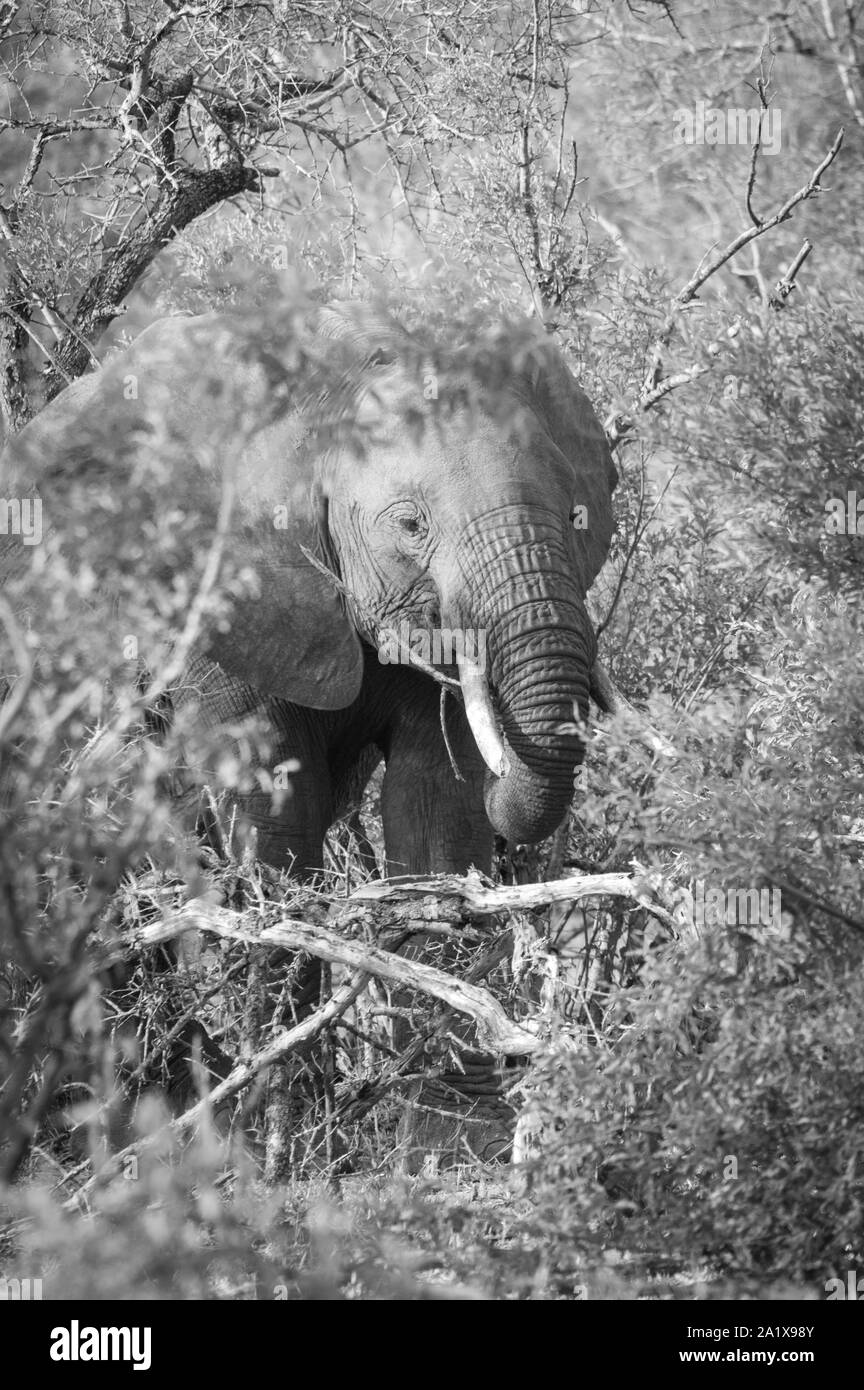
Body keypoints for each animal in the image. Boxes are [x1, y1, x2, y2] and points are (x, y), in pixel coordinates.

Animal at [1, 301, 622, 1162]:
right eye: (410, 524)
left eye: (574, 513)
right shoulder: (220, 590)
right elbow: (275, 813)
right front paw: (276, 1125)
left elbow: (436, 810)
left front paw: (452, 1132)